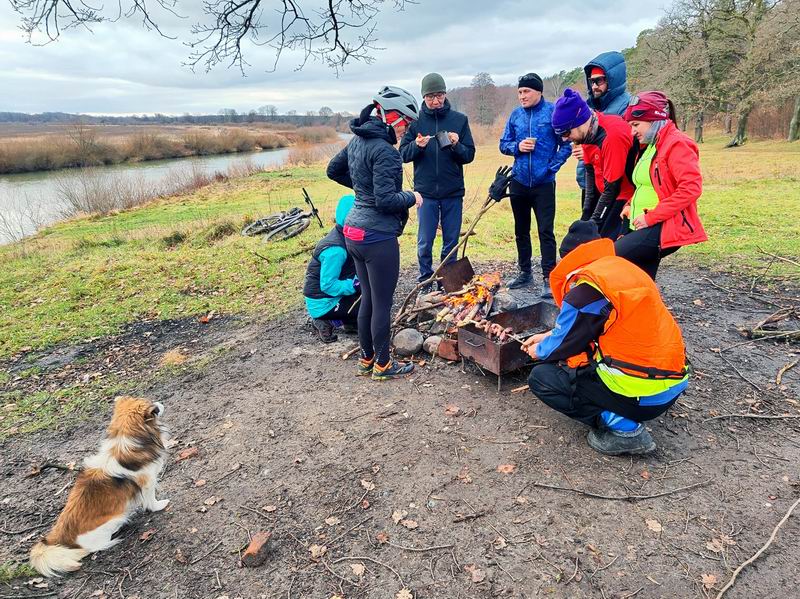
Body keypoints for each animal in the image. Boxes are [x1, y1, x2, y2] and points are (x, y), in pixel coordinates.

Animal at [30, 398, 169, 576]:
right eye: (154, 408)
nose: (161, 404)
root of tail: (58, 539)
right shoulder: (148, 482)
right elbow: (151, 500)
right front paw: (159, 506)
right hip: (113, 520)